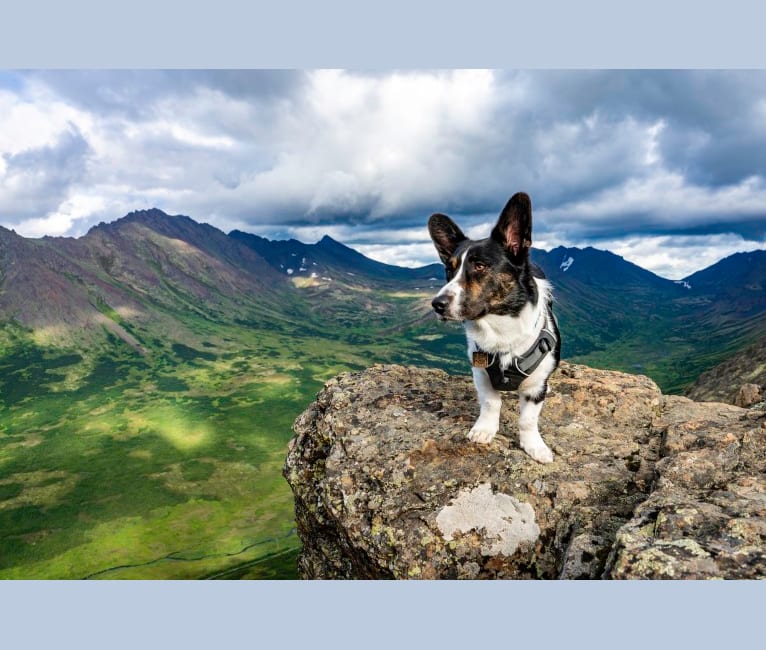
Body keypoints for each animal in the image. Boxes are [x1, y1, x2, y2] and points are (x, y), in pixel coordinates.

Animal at [428, 190, 560, 464]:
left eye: (479, 266)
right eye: (449, 269)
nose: (437, 304)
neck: (500, 328)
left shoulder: (535, 388)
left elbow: (528, 419)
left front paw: (535, 447)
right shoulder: (481, 374)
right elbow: (491, 404)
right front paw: (484, 430)